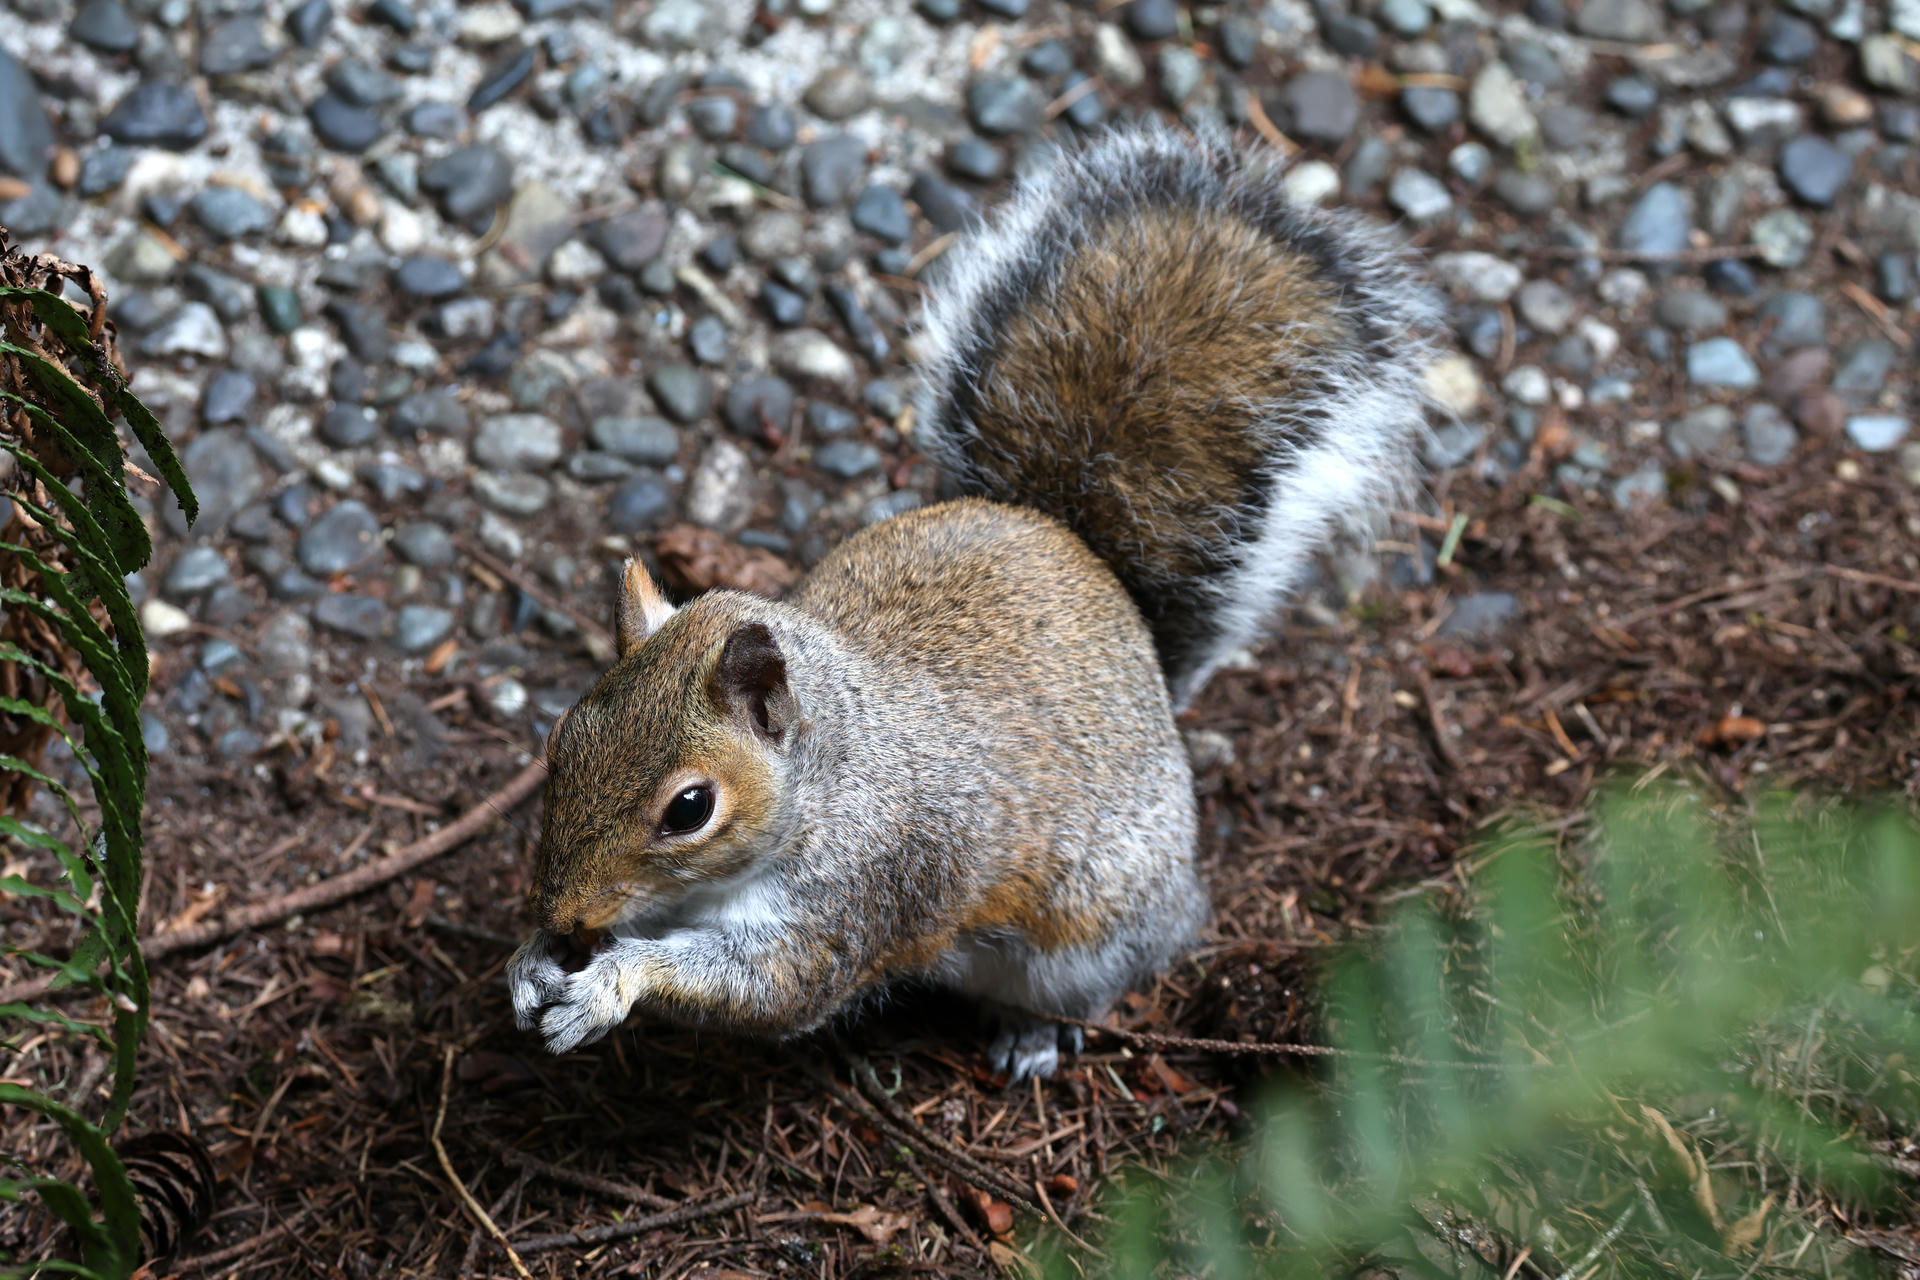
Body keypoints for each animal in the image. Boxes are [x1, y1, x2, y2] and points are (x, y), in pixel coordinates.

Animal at [509, 124, 1443, 1081]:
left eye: (689, 810)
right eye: (561, 739)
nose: (563, 913)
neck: (833, 774)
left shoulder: (858, 895)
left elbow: (772, 990)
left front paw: (608, 982)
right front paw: (533, 962)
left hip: (1088, 935)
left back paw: (1035, 1035)